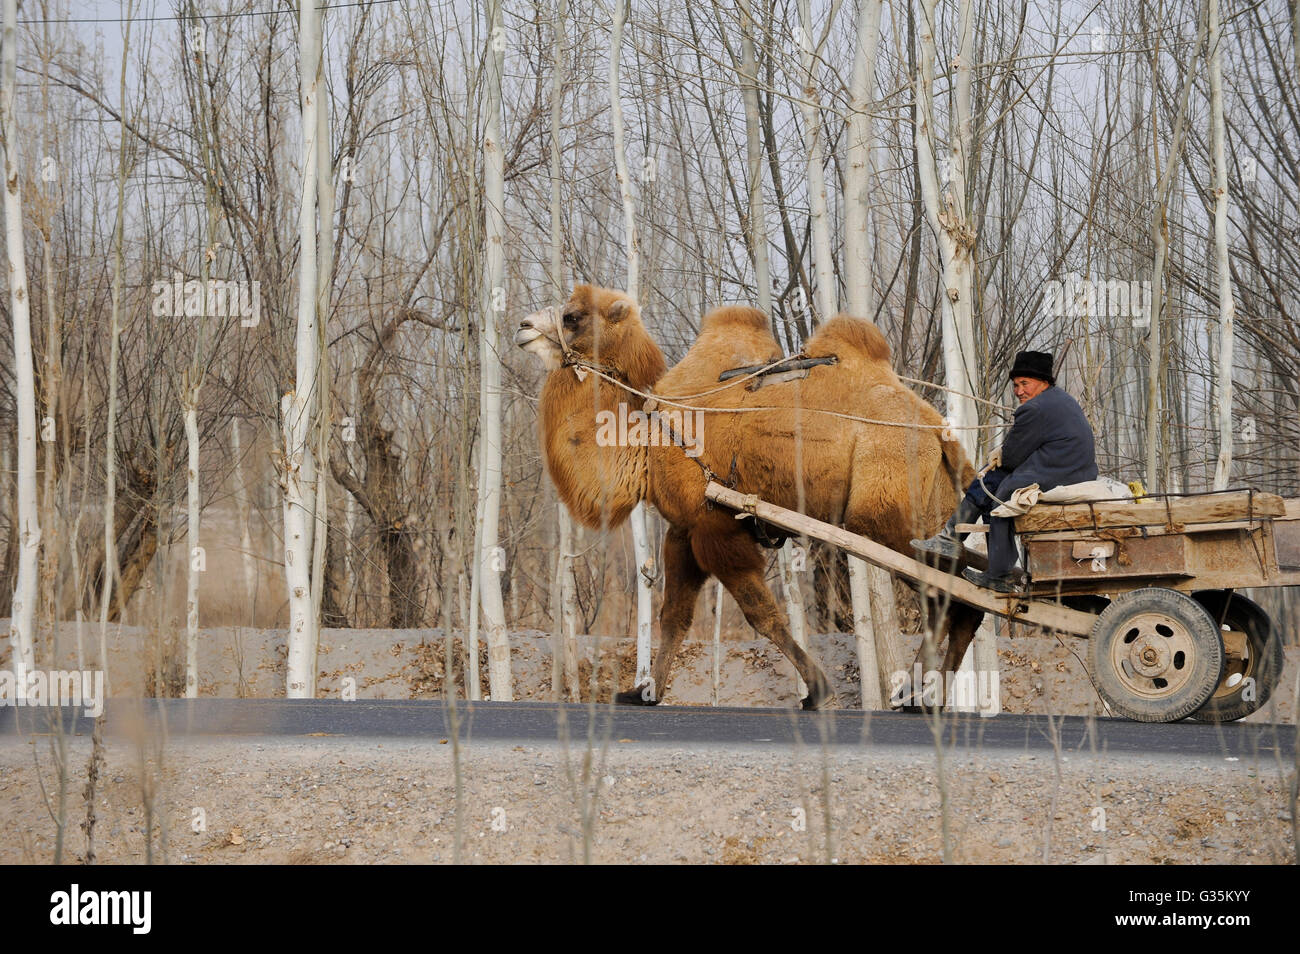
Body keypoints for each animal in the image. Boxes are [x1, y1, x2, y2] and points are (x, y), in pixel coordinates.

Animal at [512, 283, 977, 712]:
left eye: (572, 316)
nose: (523, 327)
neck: (651, 439)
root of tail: (942, 433)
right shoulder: (683, 530)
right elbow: (673, 616)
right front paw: (643, 692)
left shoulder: (715, 527)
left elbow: (761, 613)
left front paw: (816, 691)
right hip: (931, 507)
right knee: (958, 595)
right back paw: (923, 697)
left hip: (881, 514)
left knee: (946, 595)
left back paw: (917, 696)